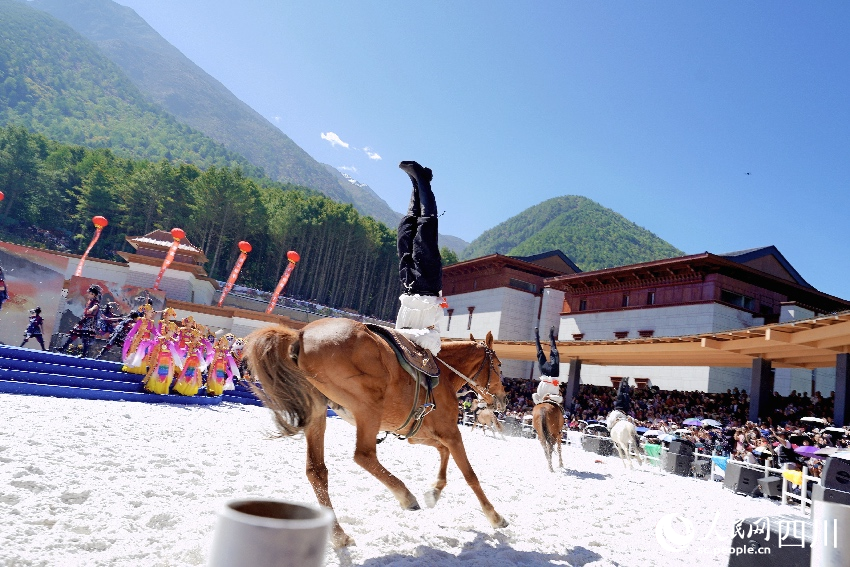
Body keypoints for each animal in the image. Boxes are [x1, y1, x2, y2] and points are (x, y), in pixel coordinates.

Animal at [244, 319, 508, 547]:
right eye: (498, 366)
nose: (503, 400)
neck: (444, 374)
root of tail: (300, 334)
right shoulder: (452, 432)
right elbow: (470, 474)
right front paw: (495, 517)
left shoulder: (419, 435)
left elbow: (443, 452)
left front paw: (434, 491)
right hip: (368, 406)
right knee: (363, 455)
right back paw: (405, 496)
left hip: (318, 410)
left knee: (316, 471)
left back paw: (339, 535)